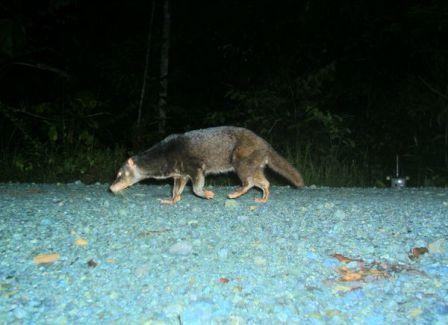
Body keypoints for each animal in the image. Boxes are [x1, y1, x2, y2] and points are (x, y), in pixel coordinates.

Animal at [109, 126, 304, 202]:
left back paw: (235, 193)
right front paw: (171, 200)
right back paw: (263, 198)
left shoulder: (194, 167)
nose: (110, 188)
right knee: (265, 182)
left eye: (119, 174)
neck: (164, 155)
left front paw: (207, 193)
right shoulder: (180, 173)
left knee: (248, 182)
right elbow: (176, 188)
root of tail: (266, 145)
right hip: (255, 164)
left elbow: (196, 187)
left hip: (242, 161)